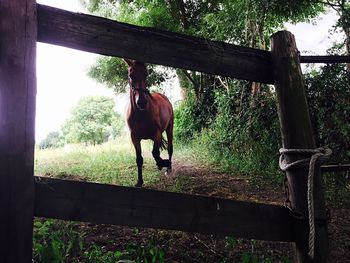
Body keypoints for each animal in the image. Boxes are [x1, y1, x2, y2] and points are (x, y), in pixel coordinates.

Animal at [126, 59, 175, 188]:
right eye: (130, 75)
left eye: (146, 74)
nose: (142, 102)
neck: (141, 115)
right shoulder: (134, 137)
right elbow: (139, 159)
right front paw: (139, 181)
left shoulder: (156, 134)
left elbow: (155, 153)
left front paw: (163, 162)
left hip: (169, 128)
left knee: (169, 148)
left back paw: (168, 167)